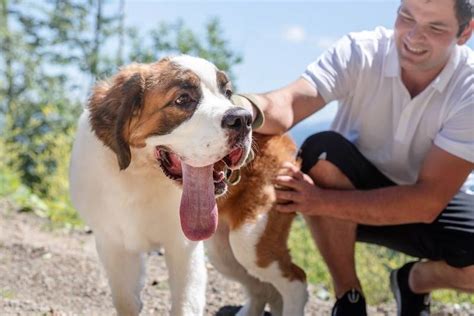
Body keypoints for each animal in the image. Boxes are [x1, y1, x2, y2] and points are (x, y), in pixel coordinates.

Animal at [69, 55, 308, 314]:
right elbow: (125, 301)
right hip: (223, 253)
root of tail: (282, 135)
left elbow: (185, 304)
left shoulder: (183, 247)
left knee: (295, 282)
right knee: (263, 288)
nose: (243, 119)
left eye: (227, 93)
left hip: (248, 240)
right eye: (183, 99)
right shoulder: (112, 245)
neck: (141, 175)